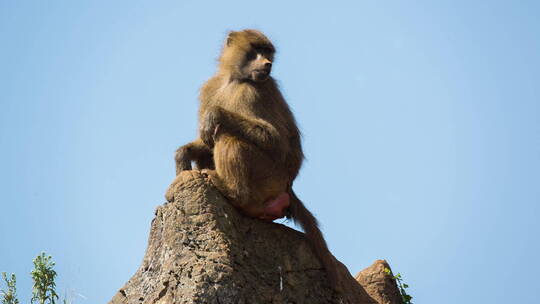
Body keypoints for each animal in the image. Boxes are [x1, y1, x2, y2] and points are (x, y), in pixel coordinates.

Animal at [175, 29, 340, 290]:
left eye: (268, 52)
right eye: (256, 50)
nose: (267, 64)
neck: (234, 80)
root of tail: (288, 186)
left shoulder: (254, 91)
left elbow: (275, 140)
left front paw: (214, 115)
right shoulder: (209, 88)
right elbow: (204, 143)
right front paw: (183, 157)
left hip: (268, 178)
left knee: (229, 137)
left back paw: (232, 191)